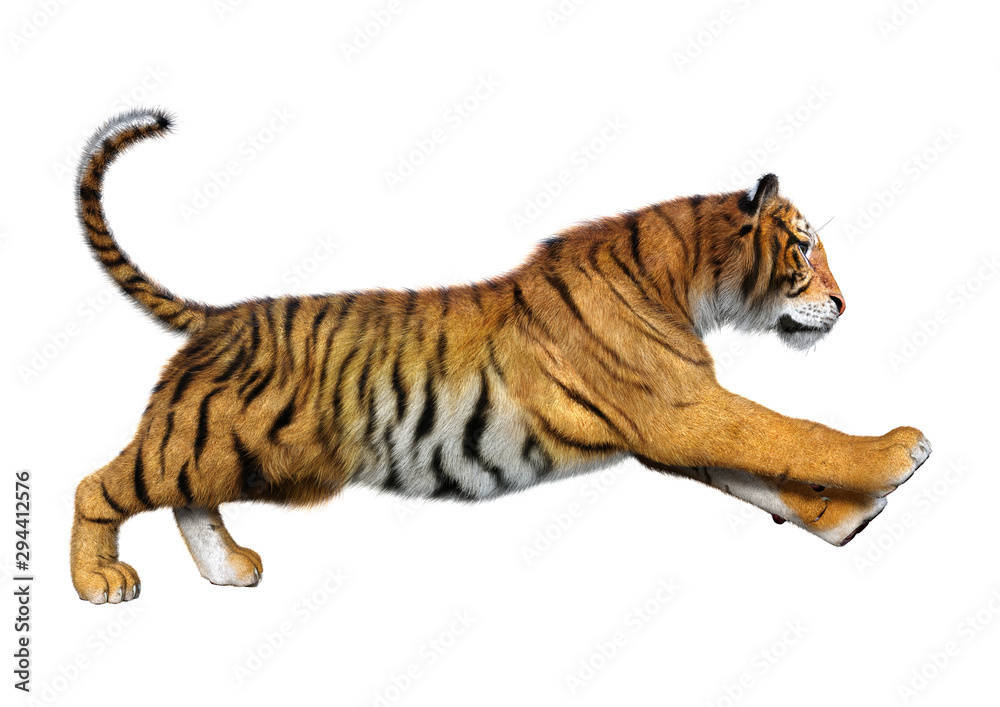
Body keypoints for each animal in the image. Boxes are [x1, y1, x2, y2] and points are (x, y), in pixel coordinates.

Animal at [70, 109, 931, 604]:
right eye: (804, 247)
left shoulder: (671, 426)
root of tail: (220, 317)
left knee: (184, 498)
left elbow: (764, 475)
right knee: (98, 485)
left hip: (241, 455)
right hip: (217, 443)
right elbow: (790, 433)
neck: (688, 282)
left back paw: (227, 570)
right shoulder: (679, 408)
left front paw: (845, 517)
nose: (845, 304)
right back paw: (100, 582)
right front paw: (896, 453)